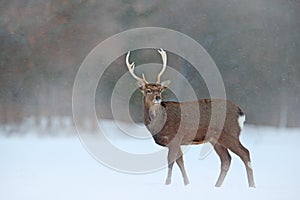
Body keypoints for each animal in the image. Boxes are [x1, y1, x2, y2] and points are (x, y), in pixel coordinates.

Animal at [125, 48, 254, 188]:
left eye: (160, 90)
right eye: (148, 90)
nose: (158, 98)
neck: (159, 123)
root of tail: (240, 113)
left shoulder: (175, 138)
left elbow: (171, 162)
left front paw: (167, 183)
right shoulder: (177, 142)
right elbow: (180, 162)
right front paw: (187, 183)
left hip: (230, 133)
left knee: (245, 153)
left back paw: (252, 186)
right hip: (215, 139)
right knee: (226, 159)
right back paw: (217, 186)